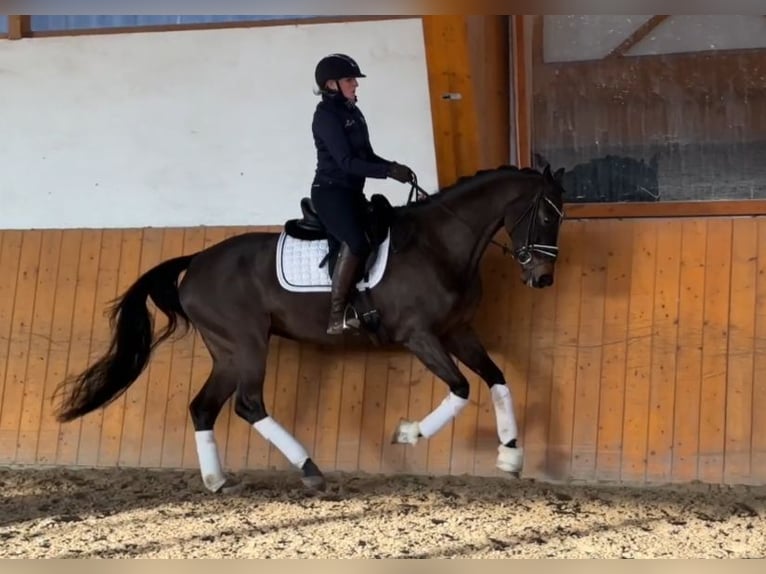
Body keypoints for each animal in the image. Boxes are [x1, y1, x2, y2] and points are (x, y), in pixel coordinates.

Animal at [54, 163, 568, 496]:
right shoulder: (419, 335)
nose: (542, 278)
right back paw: (310, 469)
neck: (439, 244)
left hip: (228, 352)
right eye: (546, 214)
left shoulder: (459, 331)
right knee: (248, 404)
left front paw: (511, 454)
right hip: (248, 344)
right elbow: (461, 387)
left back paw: (218, 481)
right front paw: (408, 434)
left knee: (203, 408)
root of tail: (197, 261)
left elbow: (496, 379)